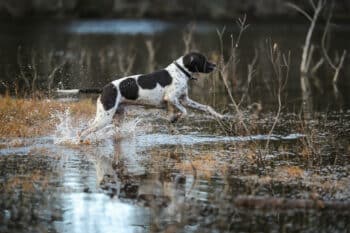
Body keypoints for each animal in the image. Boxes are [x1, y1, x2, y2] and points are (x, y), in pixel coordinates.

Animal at [58, 52, 224, 139]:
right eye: (203, 59)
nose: (215, 65)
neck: (180, 71)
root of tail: (104, 88)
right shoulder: (171, 99)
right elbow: (184, 112)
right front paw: (175, 118)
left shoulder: (185, 100)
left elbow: (206, 107)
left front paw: (219, 115)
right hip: (103, 119)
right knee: (83, 132)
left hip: (117, 117)